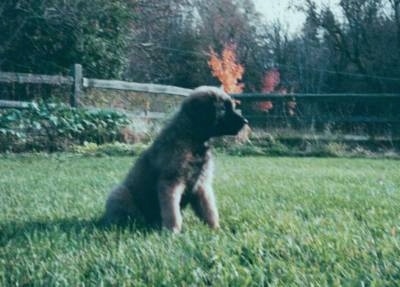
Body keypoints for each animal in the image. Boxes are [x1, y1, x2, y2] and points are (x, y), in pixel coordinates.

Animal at [104, 86, 247, 234]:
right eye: (223, 109)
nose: (246, 121)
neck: (192, 139)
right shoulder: (171, 182)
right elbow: (173, 212)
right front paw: (173, 231)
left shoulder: (202, 185)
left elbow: (209, 210)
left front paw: (216, 229)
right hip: (120, 192)